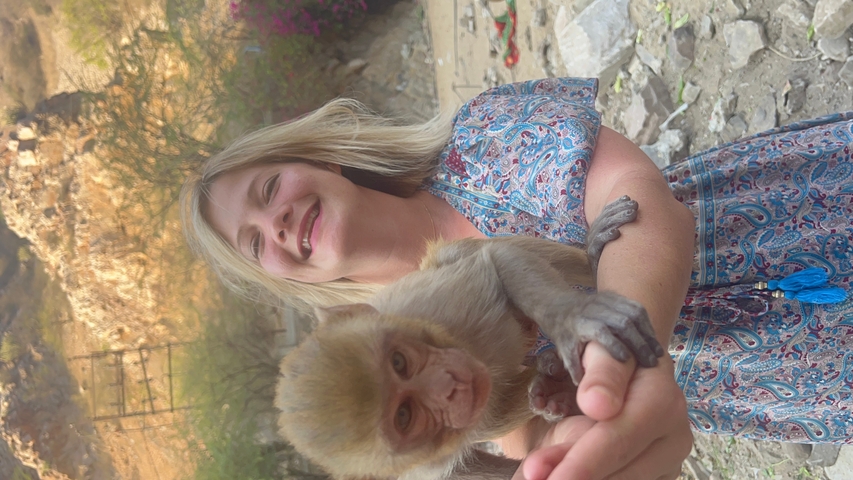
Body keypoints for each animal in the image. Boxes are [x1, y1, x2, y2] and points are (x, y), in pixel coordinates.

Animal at [275, 195, 662, 480]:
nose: (447, 385)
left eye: (399, 361)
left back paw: (591, 256)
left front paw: (572, 316)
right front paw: (558, 392)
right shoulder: (422, 468)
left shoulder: (431, 305)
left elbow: (497, 261)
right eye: (404, 416)